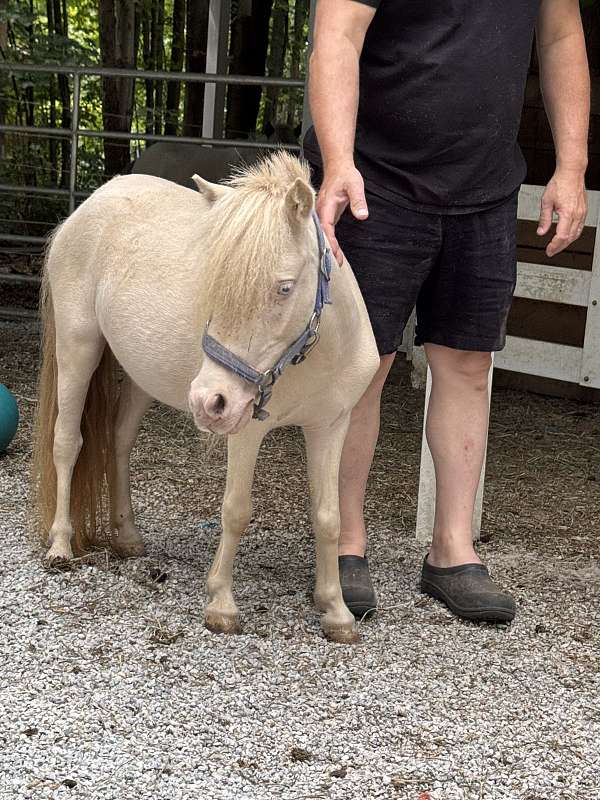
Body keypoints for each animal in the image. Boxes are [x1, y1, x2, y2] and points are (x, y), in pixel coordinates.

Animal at [31, 152, 379, 643]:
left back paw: (127, 537)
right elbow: (235, 510)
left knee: (118, 443)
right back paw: (61, 545)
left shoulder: (330, 425)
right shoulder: (246, 429)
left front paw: (336, 612)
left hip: (140, 378)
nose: (208, 401)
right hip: (77, 348)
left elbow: (328, 516)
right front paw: (221, 604)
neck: (313, 352)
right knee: (67, 443)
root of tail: (92, 204)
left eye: (284, 287)